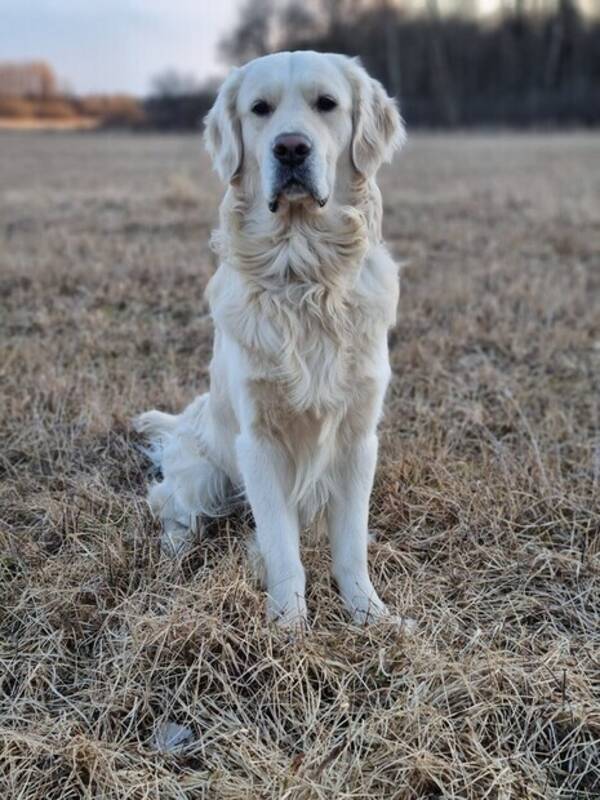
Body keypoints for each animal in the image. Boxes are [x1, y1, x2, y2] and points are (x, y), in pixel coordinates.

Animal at [136, 51, 410, 632]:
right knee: (172, 506)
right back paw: (176, 553)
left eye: (327, 104)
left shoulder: (358, 439)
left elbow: (350, 546)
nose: (290, 148)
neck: (303, 273)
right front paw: (288, 626)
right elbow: (283, 548)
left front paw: (370, 614)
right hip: (202, 471)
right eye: (259, 109)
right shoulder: (258, 442)